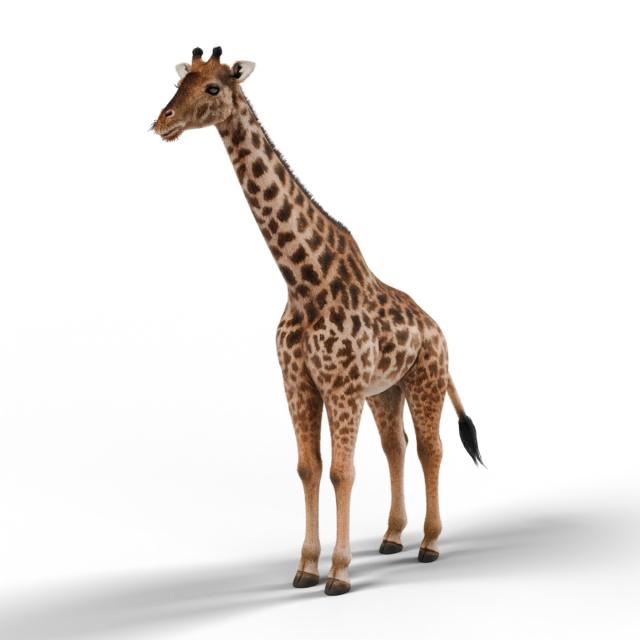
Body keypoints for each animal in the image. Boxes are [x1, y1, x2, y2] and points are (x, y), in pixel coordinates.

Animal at [153, 46, 490, 596]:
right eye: (181, 79)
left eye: (213, 88)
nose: (163, 121)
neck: (304, 280)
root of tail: (437, 329)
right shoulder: (299, 383)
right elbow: (309, 469)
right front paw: (307, 565)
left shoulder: (341, 386)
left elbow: (342, 473)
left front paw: (339, 570)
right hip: (385, 392)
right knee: (396, 448)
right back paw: (393, 536)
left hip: (425, 380)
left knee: (430, 450)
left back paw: (429, 542)